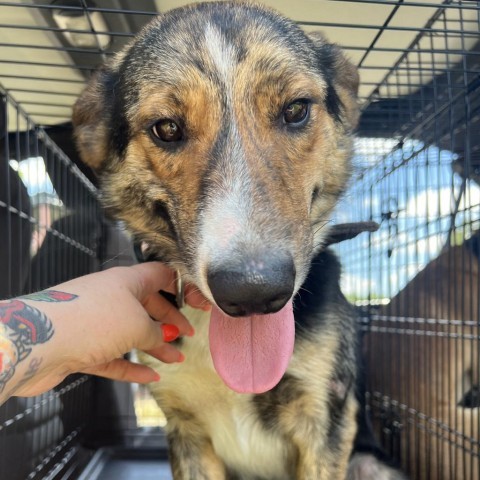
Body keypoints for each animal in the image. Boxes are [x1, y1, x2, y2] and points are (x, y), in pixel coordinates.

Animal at [73, 1, 404, 478]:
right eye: (166, 128)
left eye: (296, 110)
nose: (253, 293)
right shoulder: (185, 430)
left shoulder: (324, 423)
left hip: (369, 463)